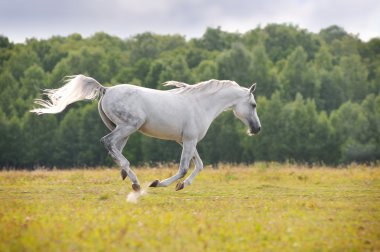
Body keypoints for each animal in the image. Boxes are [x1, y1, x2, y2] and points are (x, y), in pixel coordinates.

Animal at [30, 75, 262, 191]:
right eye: (253, 104)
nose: (257, 129)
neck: (200, 104)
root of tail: (106, 89)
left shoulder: (187, 141)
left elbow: (199, 166)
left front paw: (181, 186)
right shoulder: (188, 141)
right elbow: (184, 168)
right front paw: (158, 183)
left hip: (123, 128)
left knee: (115, 148)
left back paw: (126, 174)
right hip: (129, 126)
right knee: (108, 143)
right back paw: (134, 181)